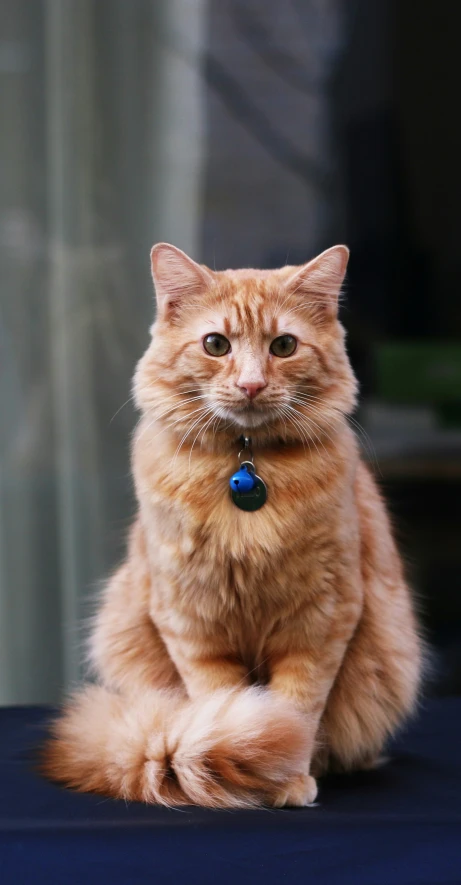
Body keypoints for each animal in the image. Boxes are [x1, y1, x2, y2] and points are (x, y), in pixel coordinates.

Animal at [41, 242, 422, 808]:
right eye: (215, 344)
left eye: (284, 345)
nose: (251, 384)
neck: (246, 469)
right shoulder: (192, 622)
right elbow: (228, 707)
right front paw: (251, 763)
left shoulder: (321, 619)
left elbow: (296, 708)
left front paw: (286, 776)